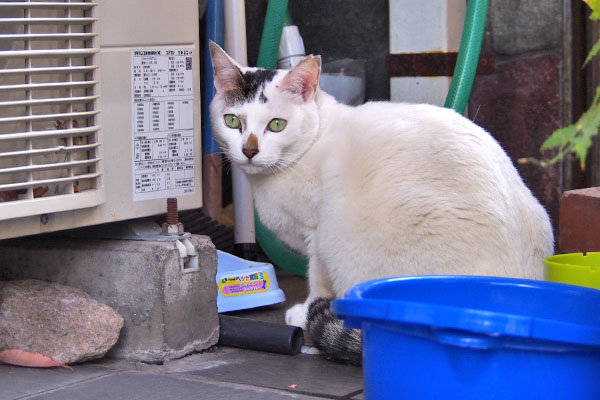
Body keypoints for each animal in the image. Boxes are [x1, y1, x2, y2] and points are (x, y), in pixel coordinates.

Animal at [210, 43, 552, 362]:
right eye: (232, 121)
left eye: (277, 125)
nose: (249, 150)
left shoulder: (317, 234)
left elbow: (317, 280)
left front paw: (305, 313)